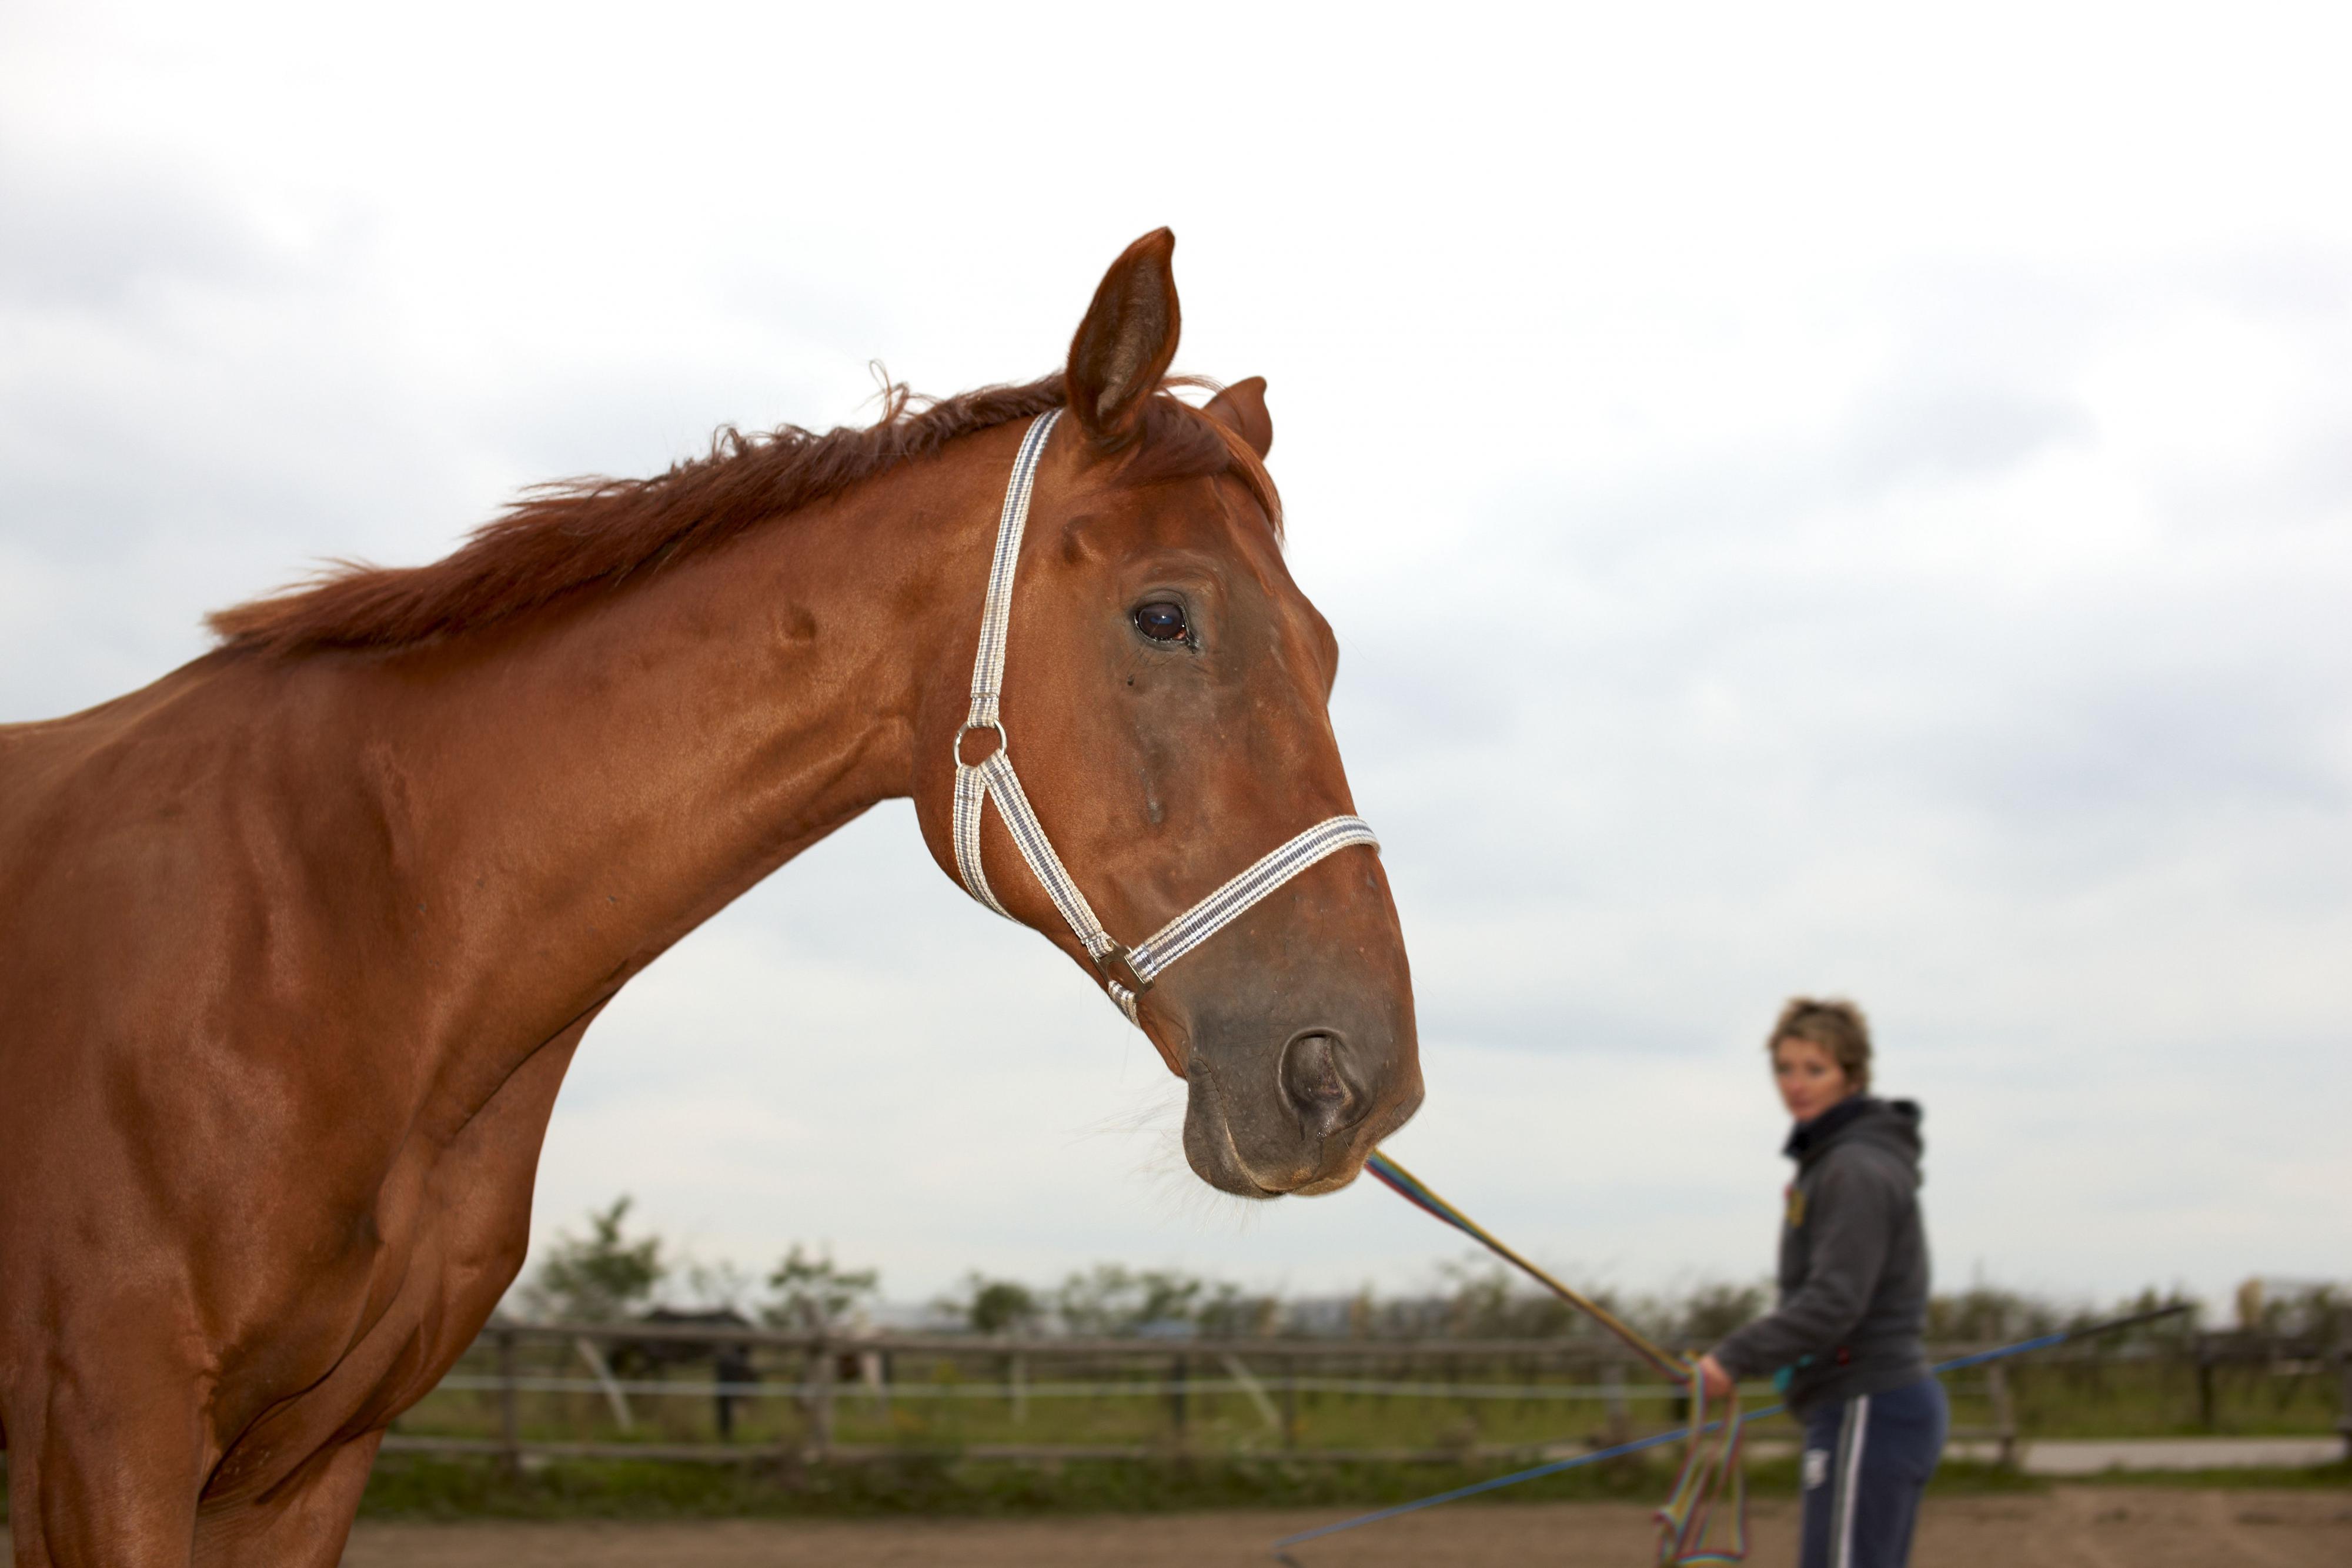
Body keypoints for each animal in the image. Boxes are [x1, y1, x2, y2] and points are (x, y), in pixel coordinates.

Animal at [0, 236, 1421, 1568]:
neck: (345, 915)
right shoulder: (107, 1438)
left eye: (1330, 650)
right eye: (1165, 616)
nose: (1354, 1081)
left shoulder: (306, 1465)